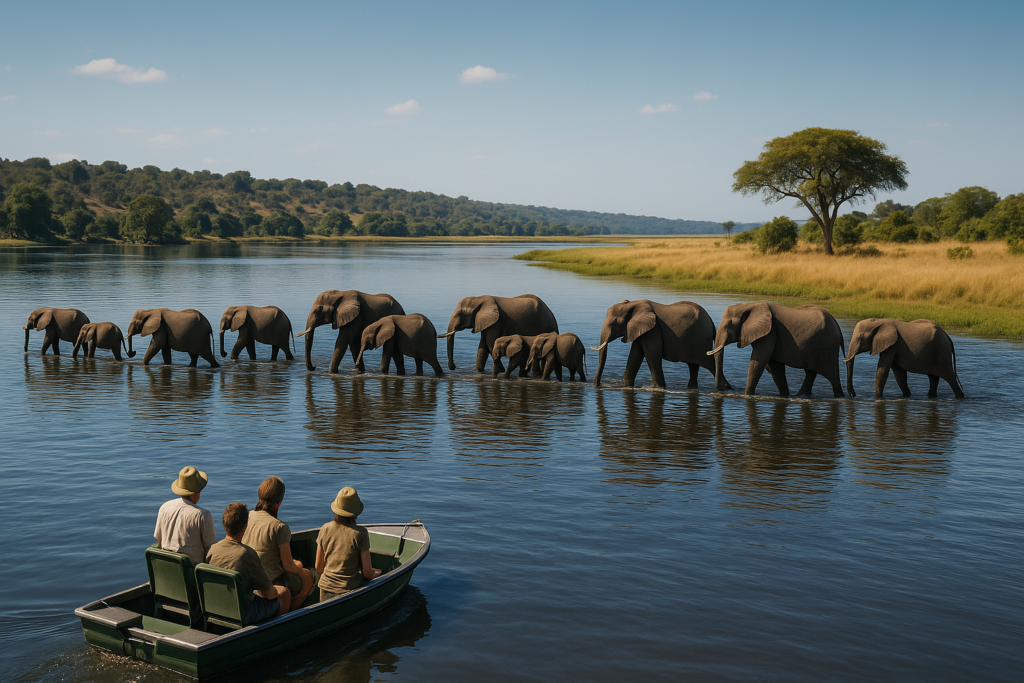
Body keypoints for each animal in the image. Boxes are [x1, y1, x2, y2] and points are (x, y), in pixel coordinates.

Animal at [591, 299, 728, 389]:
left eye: (614, 322)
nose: (598, 385)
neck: (634, 304)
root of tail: (711, 320)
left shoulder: (653, 330)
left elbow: (652, 354)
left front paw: (658, 388)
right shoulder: (642, 330)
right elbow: (635, 355)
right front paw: (624, 386)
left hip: (701, 341)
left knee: (710, 364)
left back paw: (725, 388)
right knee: (693, 366)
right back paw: (692, 388)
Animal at [709, 302, 845, 397]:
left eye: (729, 325)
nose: (722, 390)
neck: (748, 305)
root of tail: (837, 325)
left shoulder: (770, 333)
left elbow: (759, 361)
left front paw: (747, 396)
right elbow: (775, 367)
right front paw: (785, 396)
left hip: (828, 347)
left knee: (833, 377)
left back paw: (839, 396)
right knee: (811, 372)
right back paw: (800, 395)